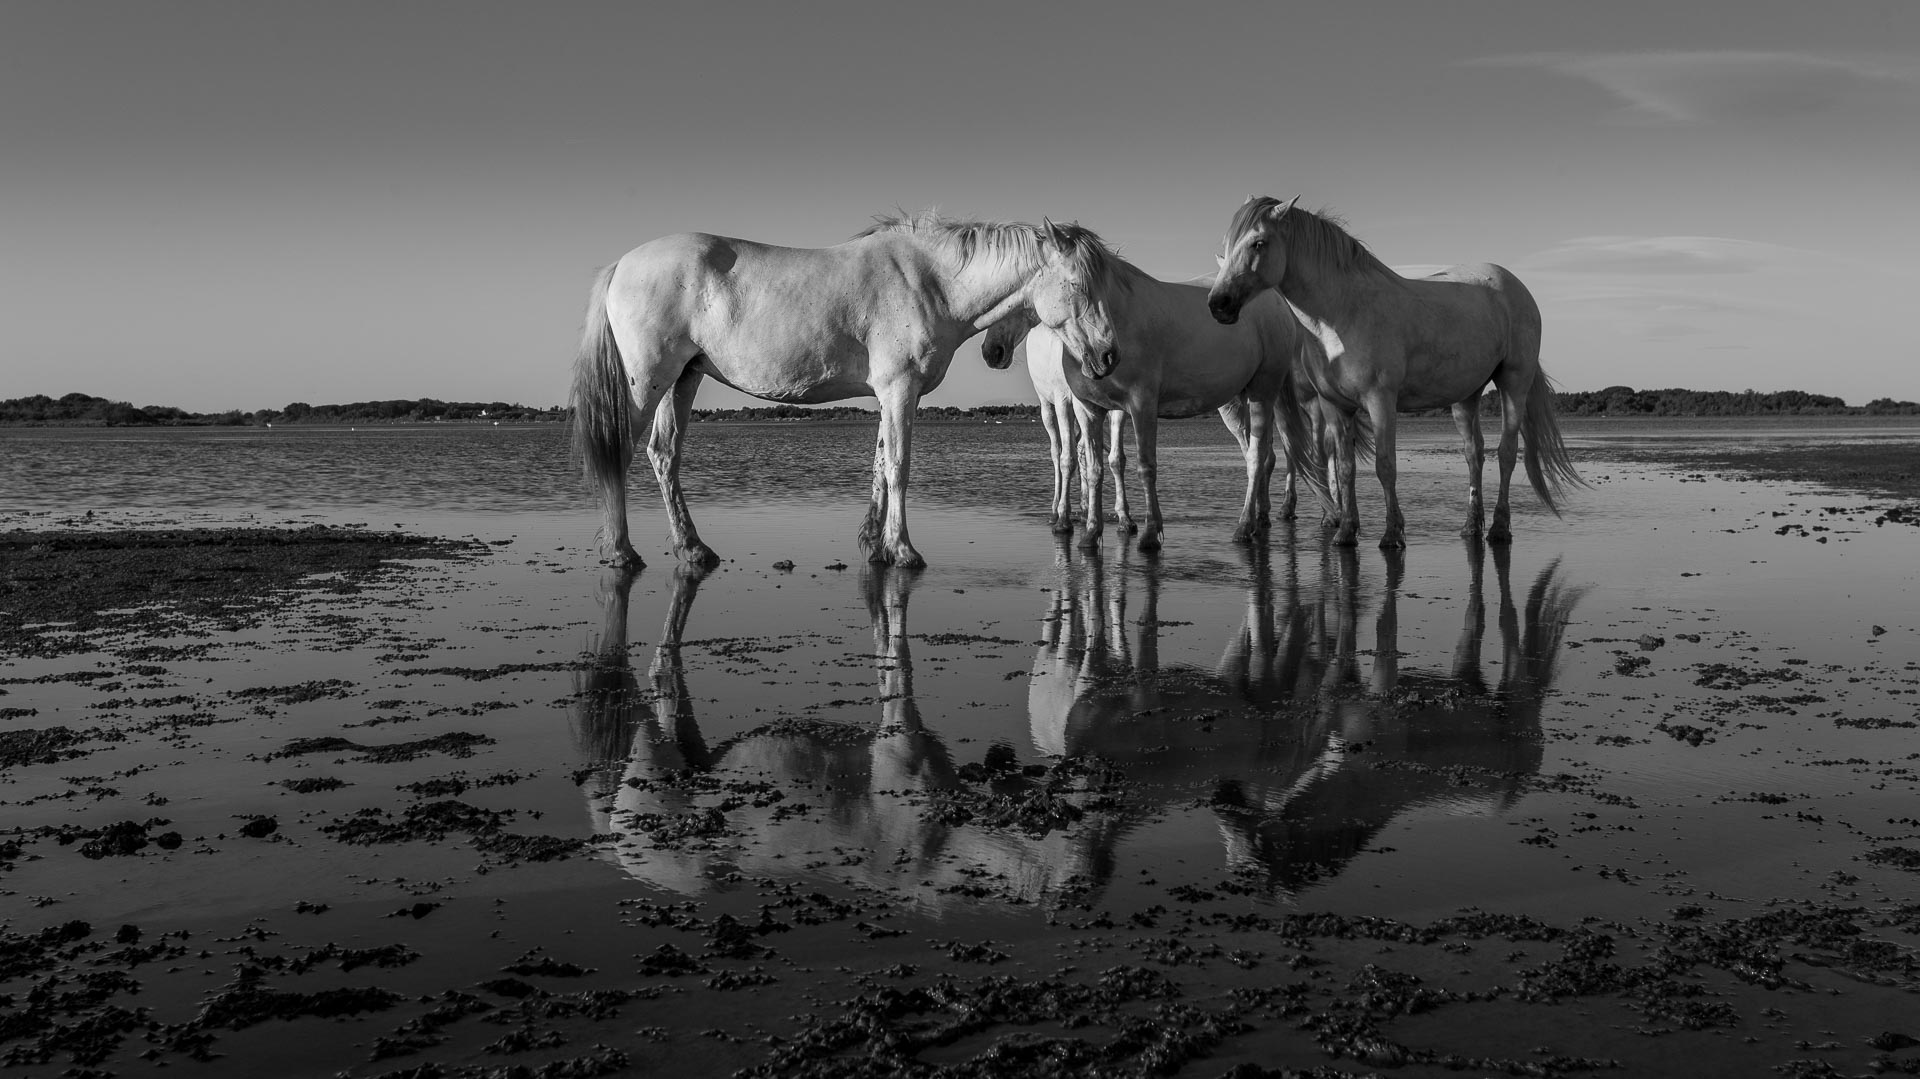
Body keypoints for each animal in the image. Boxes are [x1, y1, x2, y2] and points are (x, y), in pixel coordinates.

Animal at [572, 208, 1121, 564]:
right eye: (1078, 285)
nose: (1108, 356)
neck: (930, 281)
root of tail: (621, 265)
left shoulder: (891, 394)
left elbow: (879, 466)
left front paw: (874, 546)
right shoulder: (899, 390)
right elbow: (898, 467)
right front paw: (903, 551)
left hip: (682, 381)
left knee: (664, 455)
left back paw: (693, 549)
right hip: (647, 384)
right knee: (620, 451)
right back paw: (622, 551)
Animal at [983, 263, 1328, 552]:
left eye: (1012, 301)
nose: (992, 351)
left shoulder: (1109, 405)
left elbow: (1112, 459)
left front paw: (1122, 520)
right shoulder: (1079, 403)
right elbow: (1084, 458)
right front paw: (1093, 519)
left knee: (1261, 453)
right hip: (1050, 406)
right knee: (1061, 452)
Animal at [1205, 194, 1582, 545]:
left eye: (1258, 242)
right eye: (1226, 244)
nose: (1218, 304)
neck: (1341, 314)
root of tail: (1514, 285)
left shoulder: (1380, 401)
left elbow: (1385, 466)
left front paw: (1392, 534)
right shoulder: (1334, 405)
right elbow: (1345, 468)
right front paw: (1346, 531)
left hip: (1513, 382)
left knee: (1505, 453)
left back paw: (1499, 528)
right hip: (1466, 395)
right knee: (1473, 453)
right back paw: (1471, 526)